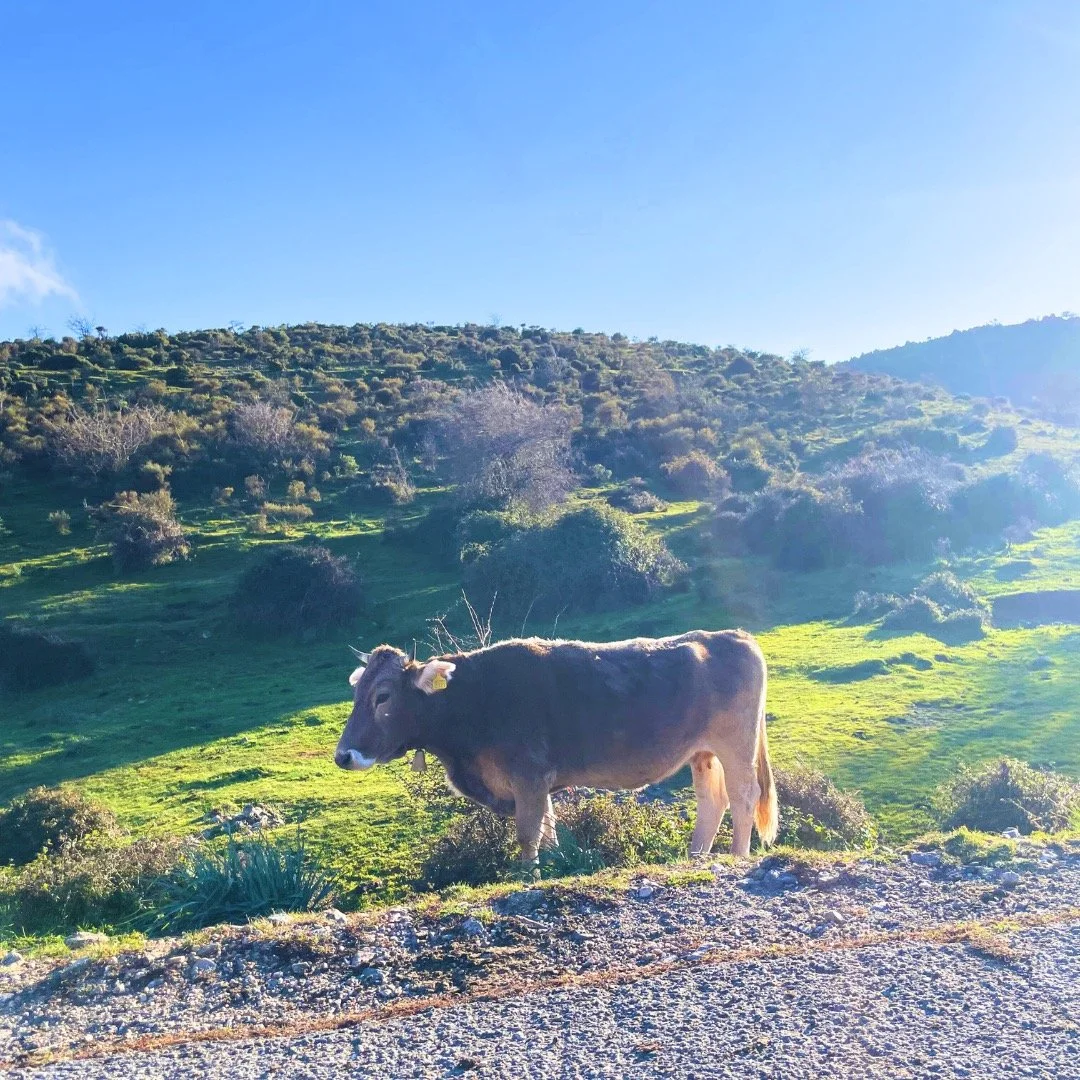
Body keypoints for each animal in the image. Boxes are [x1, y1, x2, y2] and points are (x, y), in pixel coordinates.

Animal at [334, 630, 778, 862]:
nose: (343, 756)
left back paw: (738, 857)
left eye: (383, 696)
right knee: (712, 800)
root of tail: (731, 635)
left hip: (736, 743)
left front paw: (528, 874)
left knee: (743, 796)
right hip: (703, 753)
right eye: (356, 692)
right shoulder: (537, 784)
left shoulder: (529, 776)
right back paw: (695, 857)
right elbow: (547, 831)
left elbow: (528, 834)